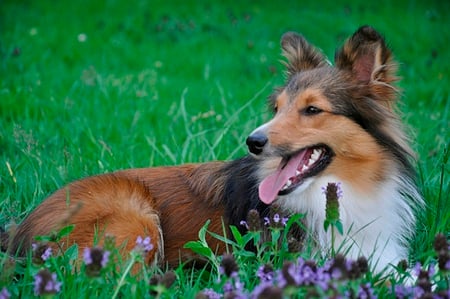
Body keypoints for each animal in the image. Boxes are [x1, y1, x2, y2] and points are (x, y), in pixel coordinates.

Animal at [2, 25, 422, 274]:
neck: (342, 190)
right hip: (136, 218)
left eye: (312, 110)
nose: (254, 142)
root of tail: (20, 230)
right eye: (277, 108)